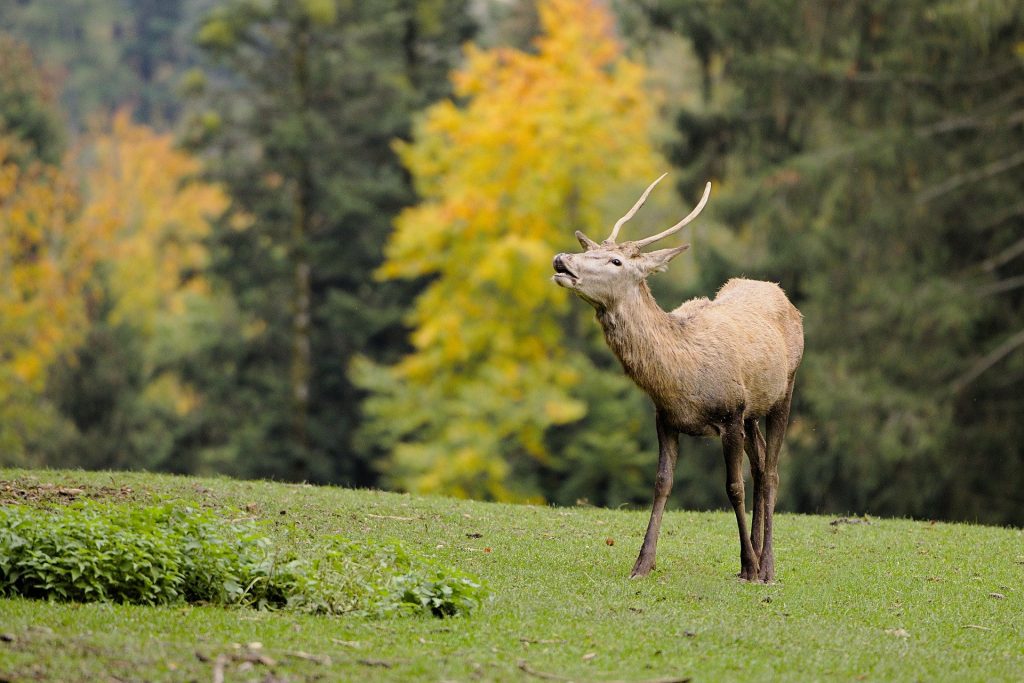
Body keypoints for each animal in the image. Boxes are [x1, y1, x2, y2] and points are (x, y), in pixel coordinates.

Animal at [552, 176, 798, 581]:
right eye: (592, 249)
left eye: (616, 260)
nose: (561, 260)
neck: (681, 376)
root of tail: (779, 290)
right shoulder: (666, 417)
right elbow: (662, 483)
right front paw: (642, 564)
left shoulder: (731, 413)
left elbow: (733, 487)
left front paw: (748, 566)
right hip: (753, 411)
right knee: (762, 463)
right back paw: (756, 555)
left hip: (784, 391)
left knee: (772, 472)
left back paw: (766, 566)